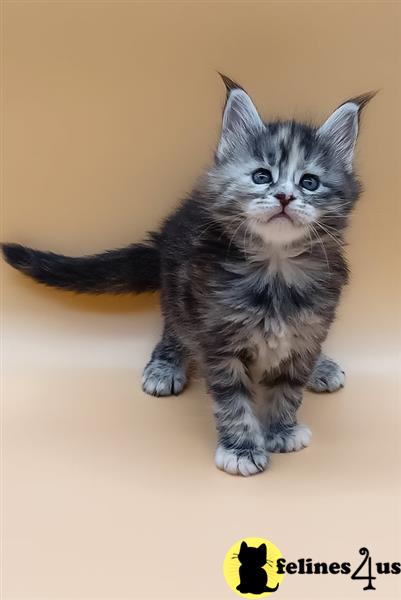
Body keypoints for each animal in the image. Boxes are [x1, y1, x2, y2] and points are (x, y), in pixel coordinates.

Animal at [2, 75, 376, 476]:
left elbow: (289, 387)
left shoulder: (308, 326)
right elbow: (233, 401)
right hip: (180, 292)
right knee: (173, 327)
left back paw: (322, 366)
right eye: (262, 176)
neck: (275, 270)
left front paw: (281, 429)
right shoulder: (218, 335)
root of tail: (172, 224)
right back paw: (165, 366)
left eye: (309, 183)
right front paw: (242, 448)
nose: (285, 197)